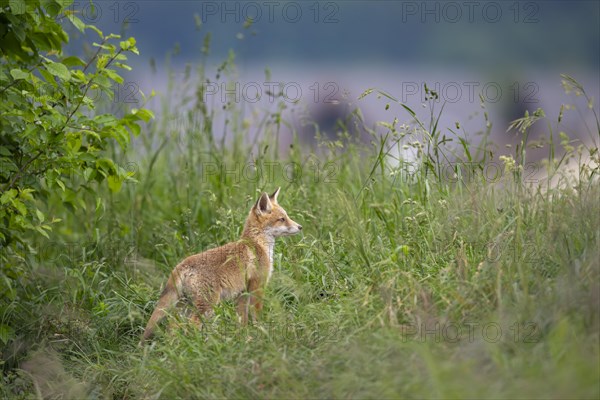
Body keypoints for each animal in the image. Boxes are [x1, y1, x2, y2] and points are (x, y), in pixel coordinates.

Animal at [140, 188, 300, 344]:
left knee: (172, 328)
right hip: (207, 305)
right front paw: (261, 335)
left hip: (185, 306)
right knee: (191, 325)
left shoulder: (243, 293)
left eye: (286, 216)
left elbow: (242, 320)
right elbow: (256, 317)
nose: (300, 226)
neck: (257, 245)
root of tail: (182, 264)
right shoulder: (257, 287)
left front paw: (244, 339)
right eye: (282, 219)